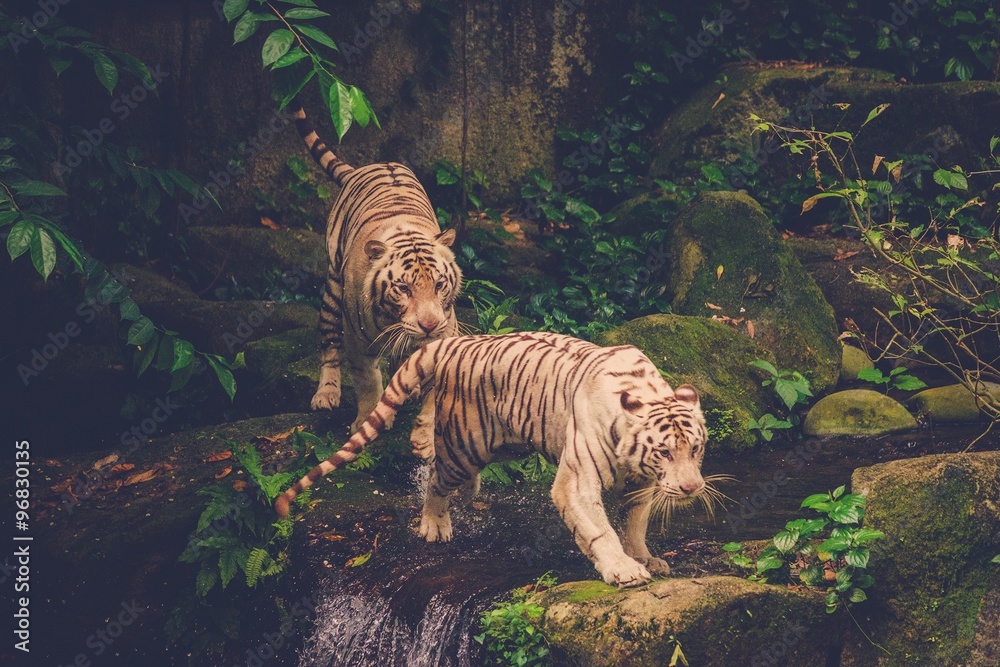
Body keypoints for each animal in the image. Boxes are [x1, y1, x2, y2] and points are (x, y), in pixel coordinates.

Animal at [275, 331, 716, 588]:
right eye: (665, 451)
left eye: (695, 449)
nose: (691, 487)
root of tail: (457, 341)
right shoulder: (577, 480)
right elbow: (599, 530)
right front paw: (623, 569)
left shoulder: (644, 484)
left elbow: (635, 524)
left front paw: (644, 557)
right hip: (467, 443)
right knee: (436, 478)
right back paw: (435, 525)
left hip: (505, 442)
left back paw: (468, 495)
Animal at [292, 101, 462, 431]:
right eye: (403, 288)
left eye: (439, 284)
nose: (429, 325)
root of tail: (365, 167)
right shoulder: (357, 339)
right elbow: (368, 380)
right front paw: (366, 421)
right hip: (333, 291)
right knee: (329, 343)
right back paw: (326, 394)